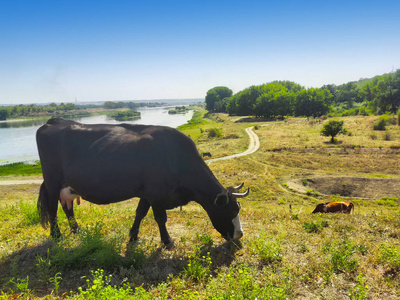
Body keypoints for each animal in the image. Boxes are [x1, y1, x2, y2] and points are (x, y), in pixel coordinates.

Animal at [37, 118, 250, 248]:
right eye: (231, 210)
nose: (239, 235)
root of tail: (53, 121)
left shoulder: (147, 193)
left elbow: (140, 213)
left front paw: (133, 237)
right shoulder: (157, 193)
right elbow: (161, 218)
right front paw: (167, 241)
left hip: (68, 187)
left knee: (68, 208)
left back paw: (77, 230)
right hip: (53, 183)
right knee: (53, 209)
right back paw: (57, 236)